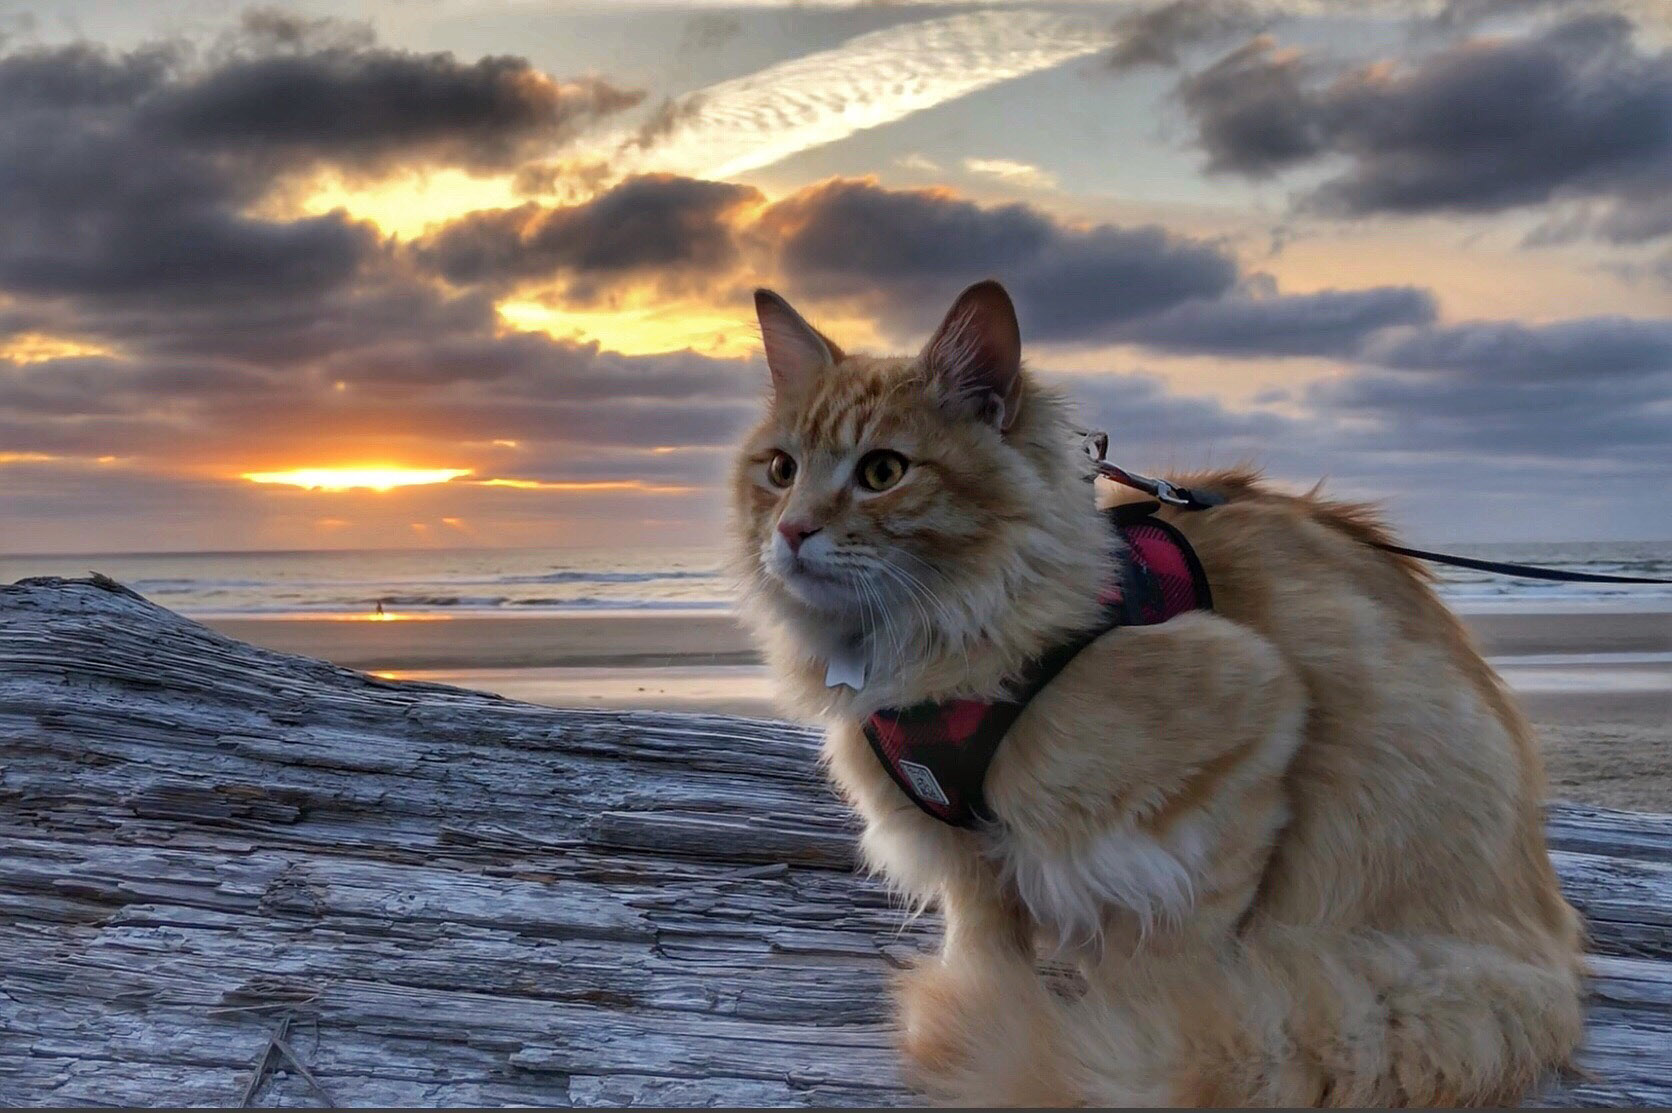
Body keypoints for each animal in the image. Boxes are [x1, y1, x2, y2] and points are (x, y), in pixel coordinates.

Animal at [728, 279, 1578, 1102]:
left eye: (882, 472)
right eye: (781, 470)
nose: (792, 531)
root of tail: (1540, 959)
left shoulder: (1245, 746)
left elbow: (1172, 978)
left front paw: (1109, 1040)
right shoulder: (972, 861)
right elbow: (986, 948)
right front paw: (990, 1010)